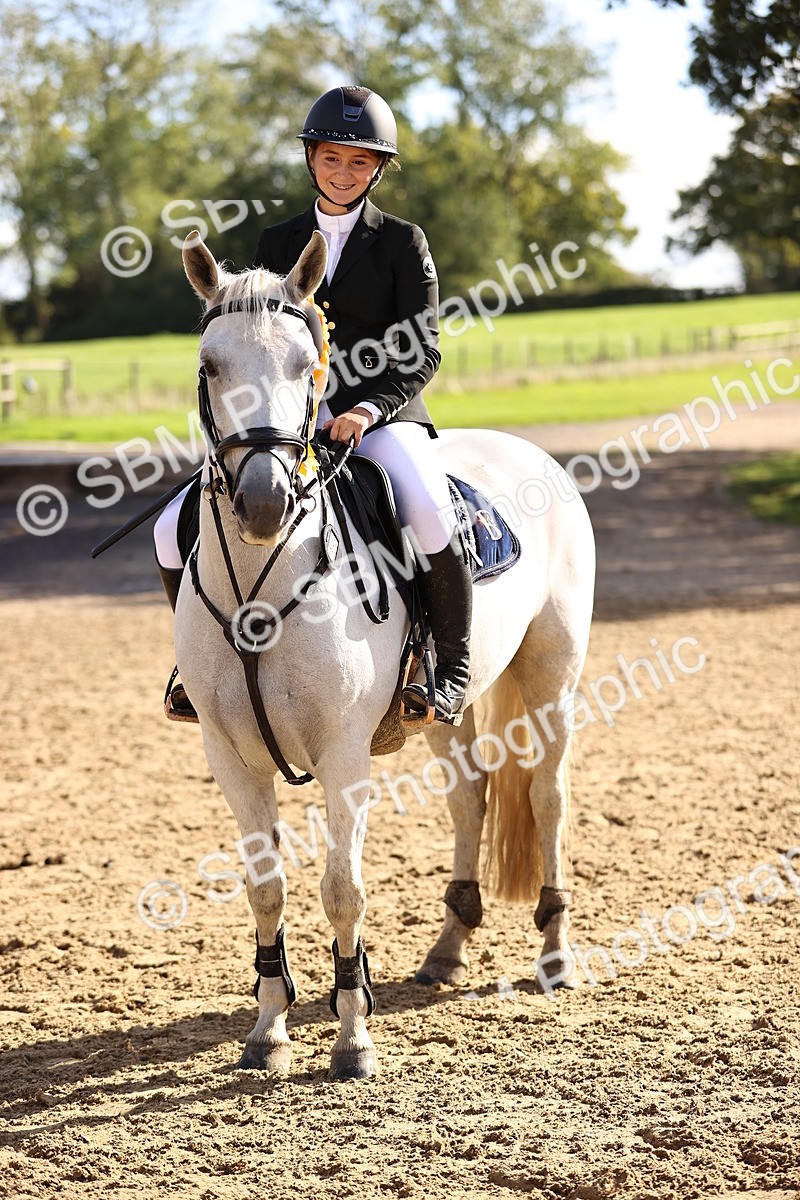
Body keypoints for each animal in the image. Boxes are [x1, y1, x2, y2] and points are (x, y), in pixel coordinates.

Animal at [175, 229, 596, 1080]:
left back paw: (555, 955)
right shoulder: (229, 756)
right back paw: (447, 949)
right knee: (471, 799)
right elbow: (265, 889)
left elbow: (344, 890)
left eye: (307, 366)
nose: (264, 503)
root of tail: (531, 452)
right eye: (211, 365)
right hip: (447, 707)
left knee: (547, 799)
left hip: (551, 679)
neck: (262, 582)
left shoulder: (343, 753)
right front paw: (269, 1028)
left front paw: (352, 1038)